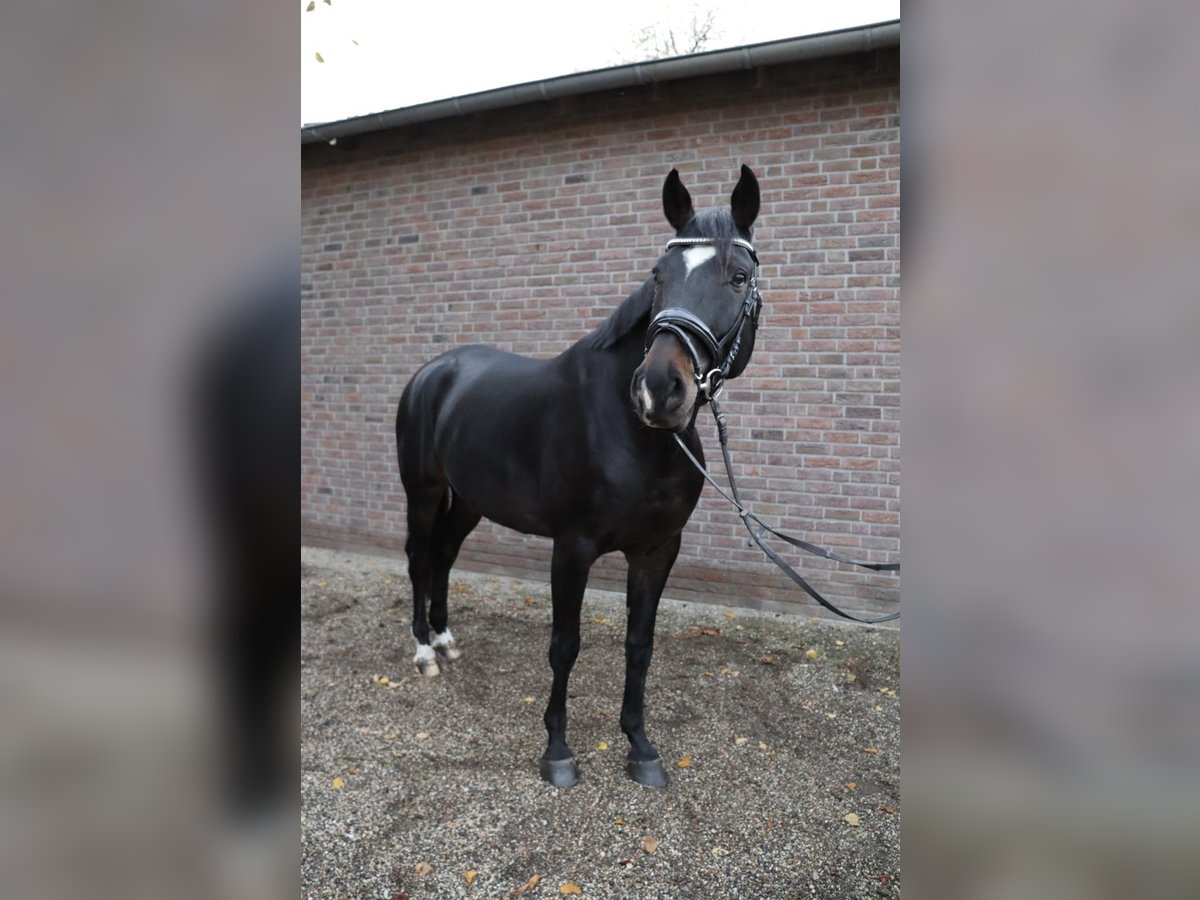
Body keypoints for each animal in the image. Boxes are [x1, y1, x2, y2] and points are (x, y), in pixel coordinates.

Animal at [394, 166, 763, 788]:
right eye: (658, 277)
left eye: (738, 277)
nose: (659, 389)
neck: (633, 433)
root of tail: (431, 372)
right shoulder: (572, 547)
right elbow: (565, 645)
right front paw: (558, 752)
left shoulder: (658, 550)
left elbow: (640, 643)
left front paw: (640, 746)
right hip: (423, 492)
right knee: (422, 559)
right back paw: (424, 653)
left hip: (468, 500)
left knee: (443, 555)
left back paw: (445, 643)